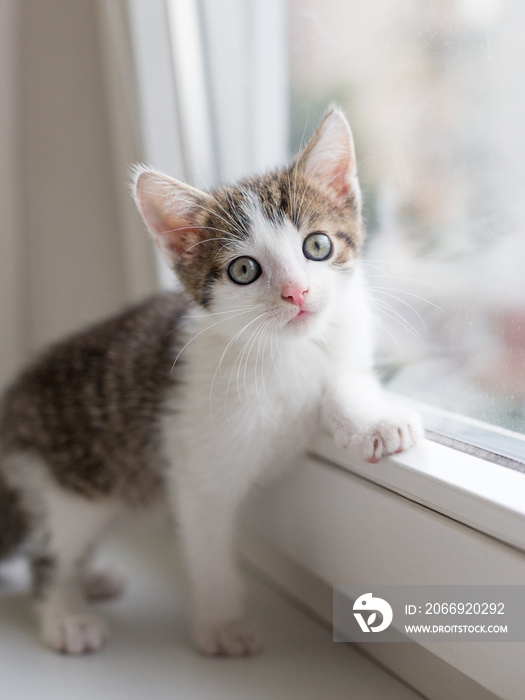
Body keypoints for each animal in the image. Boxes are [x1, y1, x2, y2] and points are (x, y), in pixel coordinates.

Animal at [0, 109, 420, 656]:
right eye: (243, 269)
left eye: (317, 245)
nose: (297, 292)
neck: (282, 352)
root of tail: (13, 401)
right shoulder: (196, 465)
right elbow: (208, 544)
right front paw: (221, 624)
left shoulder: (342, 347)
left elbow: (346, 380)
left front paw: (375, 422)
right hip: (70, 481)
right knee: (50, 548)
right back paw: (66, 613)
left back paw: (89, 579)